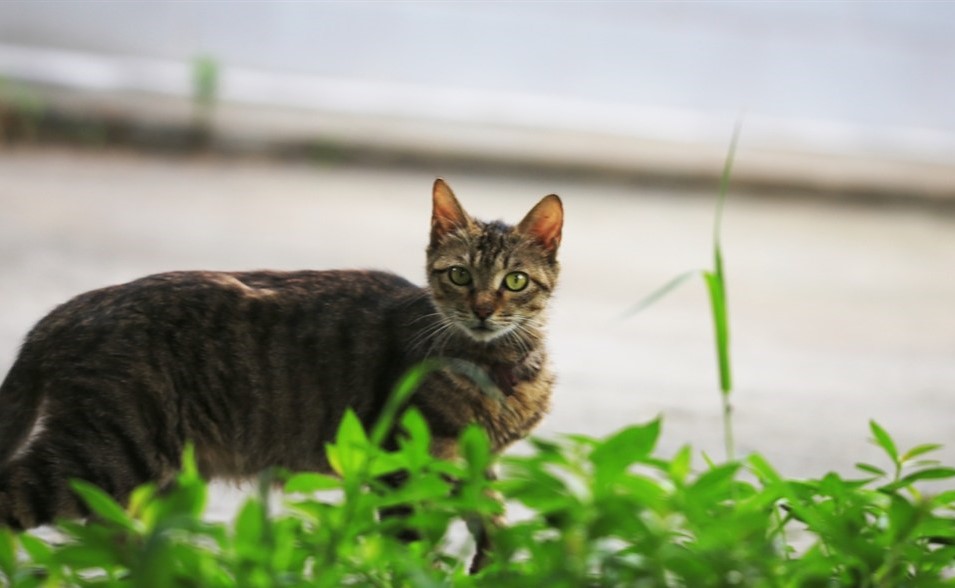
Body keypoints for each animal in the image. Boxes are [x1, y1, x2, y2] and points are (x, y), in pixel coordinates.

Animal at [0, 177, 560, 536]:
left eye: (514, 281)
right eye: (459, 275)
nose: (483, 310)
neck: (497, 370)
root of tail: (69, 308)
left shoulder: (475, 464)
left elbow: (493, 520)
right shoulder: (404, 467)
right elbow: (408, 548)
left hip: (142, 481)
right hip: (105, 452)